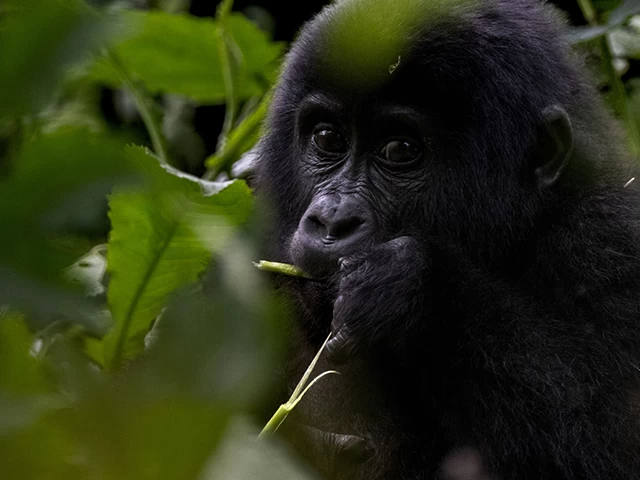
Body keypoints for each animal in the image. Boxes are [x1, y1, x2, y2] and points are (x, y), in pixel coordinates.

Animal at [254, 0, 640, 480]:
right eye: (327, 137)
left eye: (399, 149)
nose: (331, 220)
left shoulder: (613, 237)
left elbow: (609, 444)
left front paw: (413, 287)